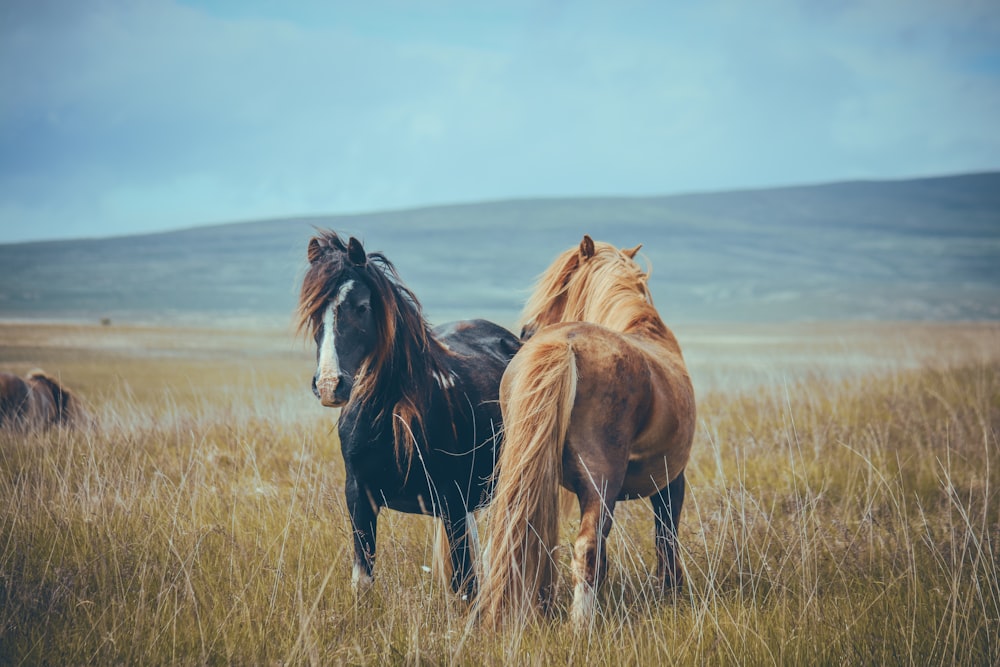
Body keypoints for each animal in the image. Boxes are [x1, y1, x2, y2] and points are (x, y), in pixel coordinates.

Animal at [298, 231, 524, 600]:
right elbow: (363, 579)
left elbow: (465, 585)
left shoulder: (453, 501)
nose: (330, 385)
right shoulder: (359, 496)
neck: (392, 418)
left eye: (361, 307)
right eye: (313, 311)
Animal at [480, 237, 700, 628]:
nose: (526, 331)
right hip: (603, 482)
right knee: (587, 547)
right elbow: (666, 535)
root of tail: (565, 343)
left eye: (562, 285)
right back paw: (582, 625)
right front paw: (670, 591)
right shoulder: (671, 480)